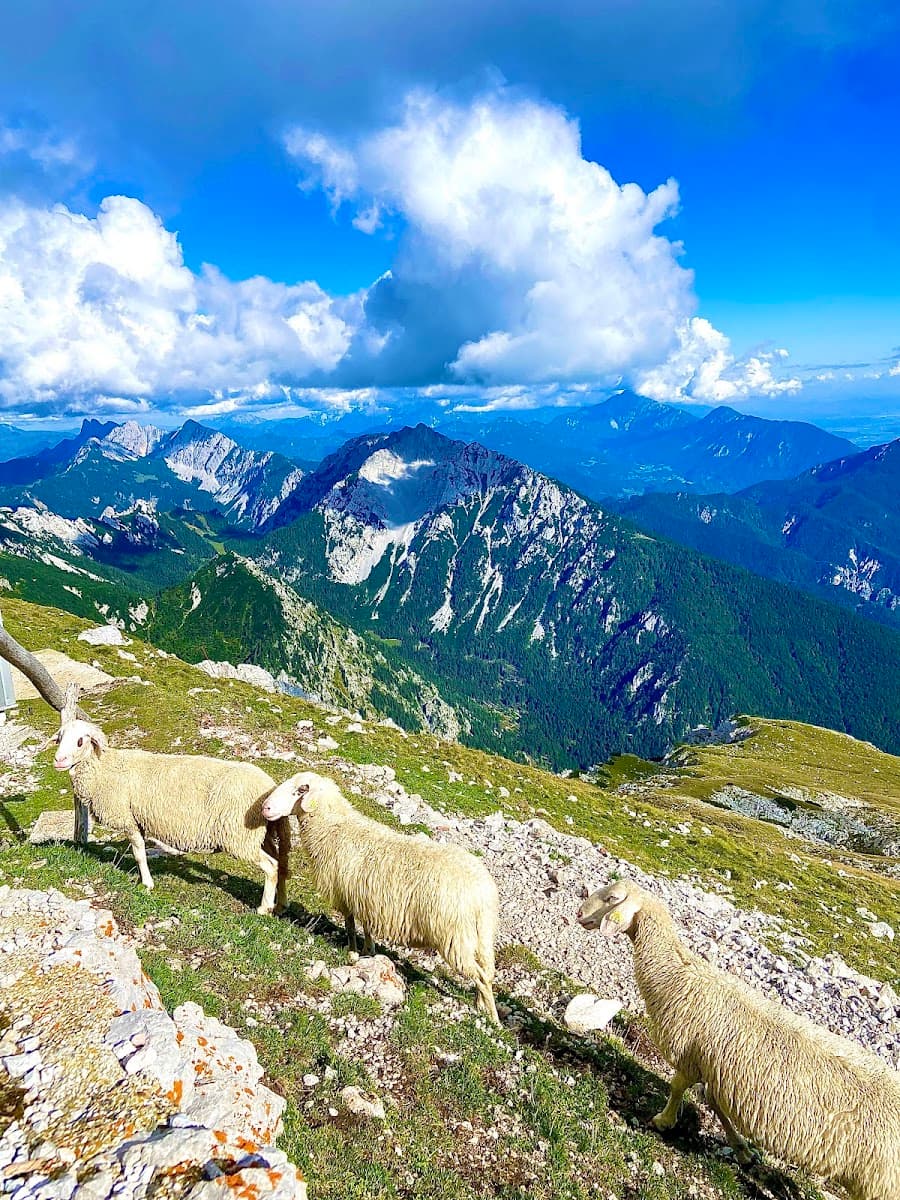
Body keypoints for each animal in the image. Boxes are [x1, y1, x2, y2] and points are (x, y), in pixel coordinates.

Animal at [53, 691, 290, 915]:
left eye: (80, 740)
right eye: (59, 738)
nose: (59, 760)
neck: (102, 767)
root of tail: (270, 786)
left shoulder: (128, 820)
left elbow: (139, 853)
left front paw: (147, 884)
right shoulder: (138, 820)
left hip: (240, 837)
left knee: (271, 867)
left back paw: (264, 908)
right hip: (264, 834)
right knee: (280, 865)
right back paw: (280, 906)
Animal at [262, 770, 500, 1024]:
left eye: (299, 791)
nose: (265, 808)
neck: (334, 827)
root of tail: (483, 892)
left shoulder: (346, 895)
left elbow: (350, 925)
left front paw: (353, 952)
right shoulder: (365, 898)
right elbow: (366, 927)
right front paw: (368, 950)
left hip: (455, 937)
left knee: (481, 977)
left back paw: (492, 1018)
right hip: (482, 936)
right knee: (487, 972)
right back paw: (481, 1004)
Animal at [577, 879, 900, 1200]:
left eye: (612, 897)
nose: (580, 912)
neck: (681, 975)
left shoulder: (689, 1056)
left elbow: (678, 1087)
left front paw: (663, 1121)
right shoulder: (714, 1068)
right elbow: (713, 1101)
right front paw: (743, 1152)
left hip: (879, 1182)